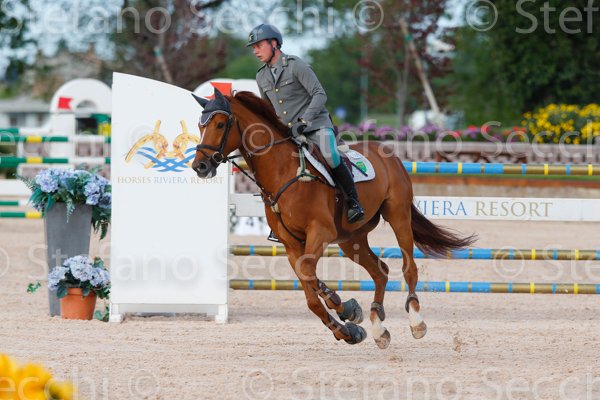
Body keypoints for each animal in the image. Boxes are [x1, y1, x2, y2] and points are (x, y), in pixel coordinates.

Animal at [191, 89, 476, 349]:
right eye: (200, 125)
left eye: (219, 124)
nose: (200, 167)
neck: (283, 172)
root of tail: (387, 152)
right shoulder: (292, 245)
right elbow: (309, 290)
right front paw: (349, 324)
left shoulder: (320, 232)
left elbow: (308, 273)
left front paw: (344, 308)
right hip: (351, 239)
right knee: (380, 271)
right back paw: (378, 327)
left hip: (398, 217)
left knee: (409, 267)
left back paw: (416, 321)